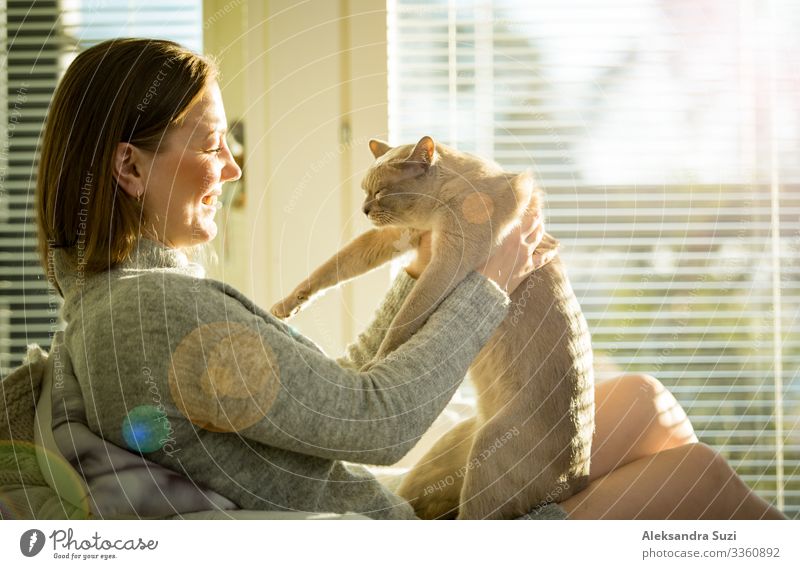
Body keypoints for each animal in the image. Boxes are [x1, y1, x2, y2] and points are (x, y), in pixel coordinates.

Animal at [272, 138, 592, 520]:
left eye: (380, 192)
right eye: (365, 191)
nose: (364, 210)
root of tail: (580, 478)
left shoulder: (446, 263)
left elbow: (403, 318)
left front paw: (375, 364)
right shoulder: (403, 236)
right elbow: (334, 266)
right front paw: (285, 306)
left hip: (485, 468)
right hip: (439, 466)